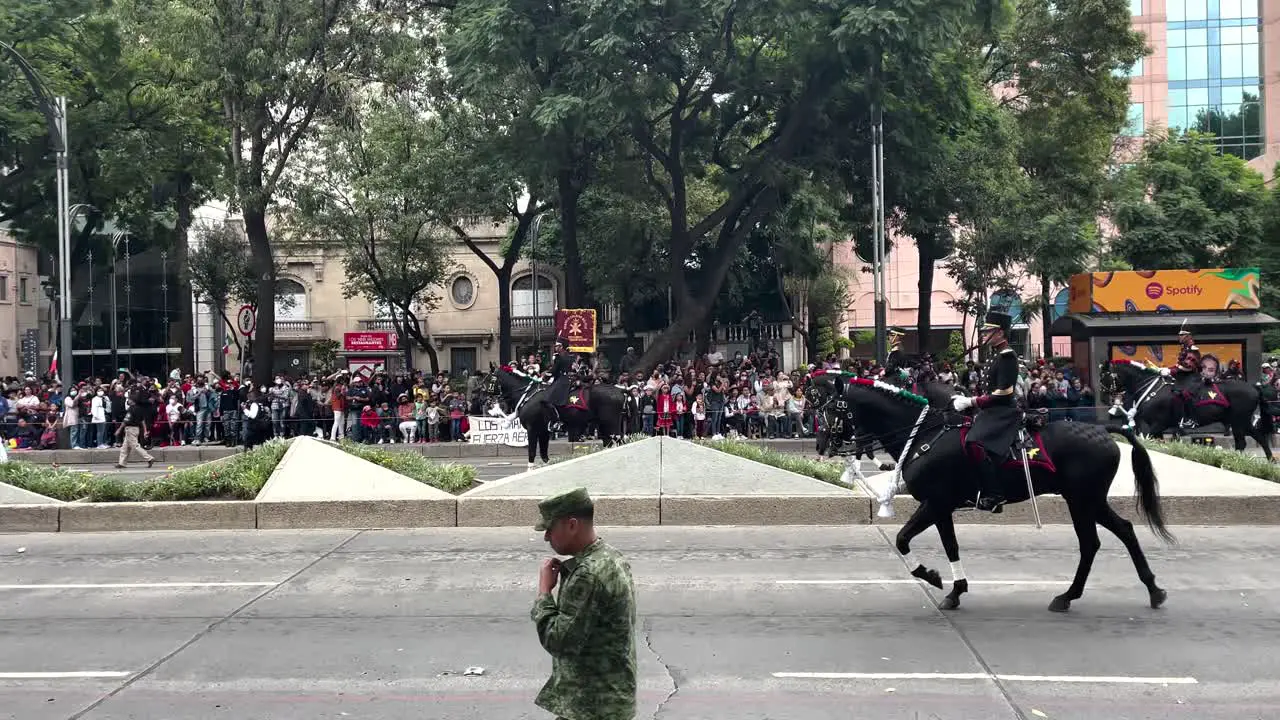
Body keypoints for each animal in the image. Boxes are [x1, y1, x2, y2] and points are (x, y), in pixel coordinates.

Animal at [839, 376, 1172, 609]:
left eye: (833, 406)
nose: (830, 444)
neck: (924, 434)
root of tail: (1103, 431)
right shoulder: (942, 507)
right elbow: (950, 546)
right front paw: (956, 590)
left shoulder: (935, 503)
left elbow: (902, 539)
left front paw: (931, 577)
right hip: (1086, 500)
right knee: (1114, 534)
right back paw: (1140, 591)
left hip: (1084, 499)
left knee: (1100, 539)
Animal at [1100, 358, 1269, 458]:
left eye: (1105, 375)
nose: (1103, 398)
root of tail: (1254, 387)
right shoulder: (1158, 428)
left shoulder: (1158, 425)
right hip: (1241, 422)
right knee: (1259, 438)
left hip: (1238, 422)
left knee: (1243, 443)